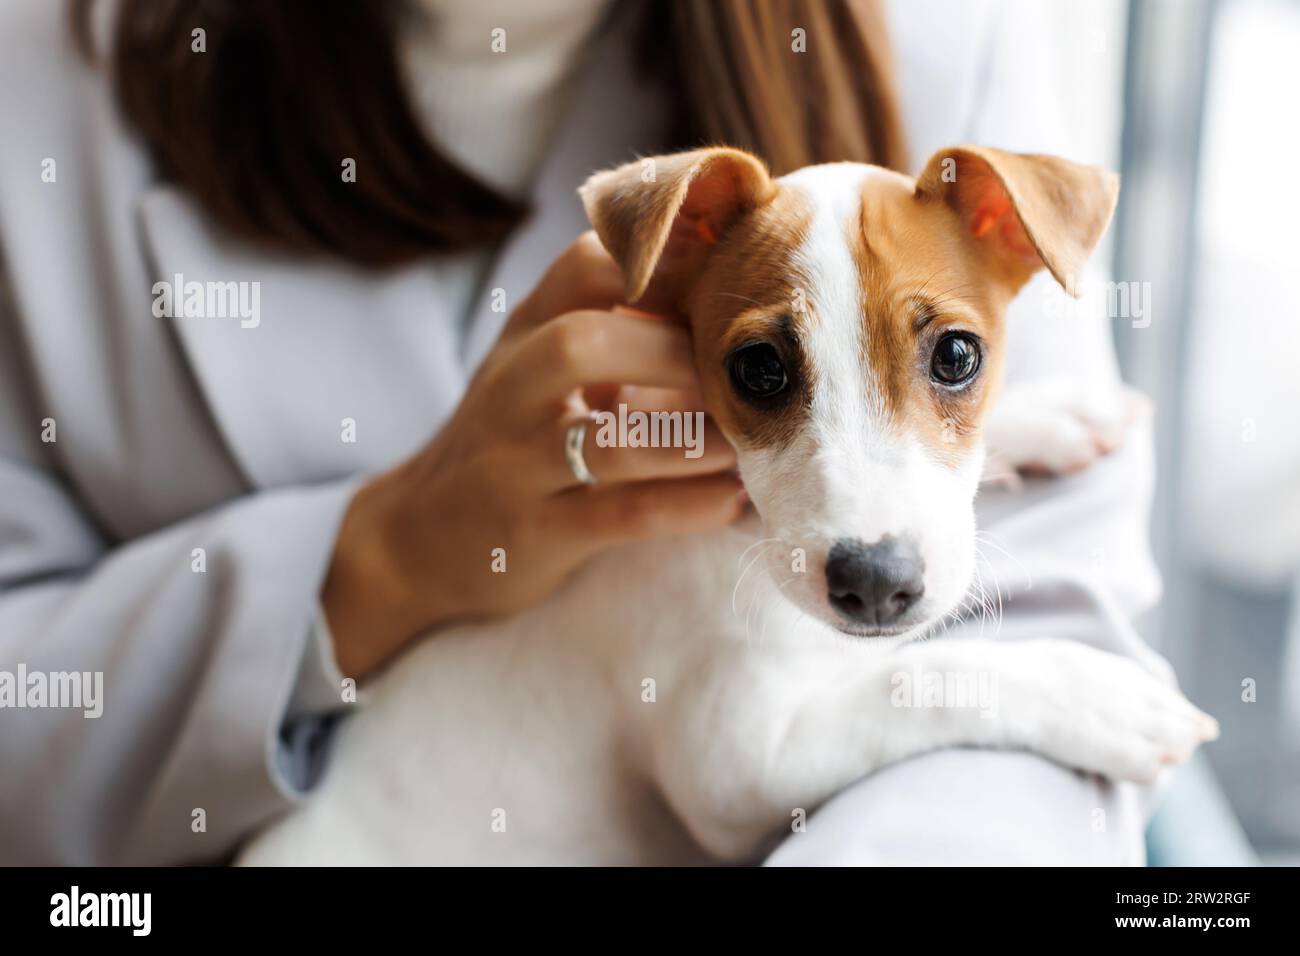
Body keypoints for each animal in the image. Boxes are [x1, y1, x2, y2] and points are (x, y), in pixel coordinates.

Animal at [241, 143, 1216, 868]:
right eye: (759, 369)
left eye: (956, 357)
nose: (874, 583)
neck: (740, 524)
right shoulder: (738, 764)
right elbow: (920, 678)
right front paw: (1097, 697)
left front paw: (1054, 415)